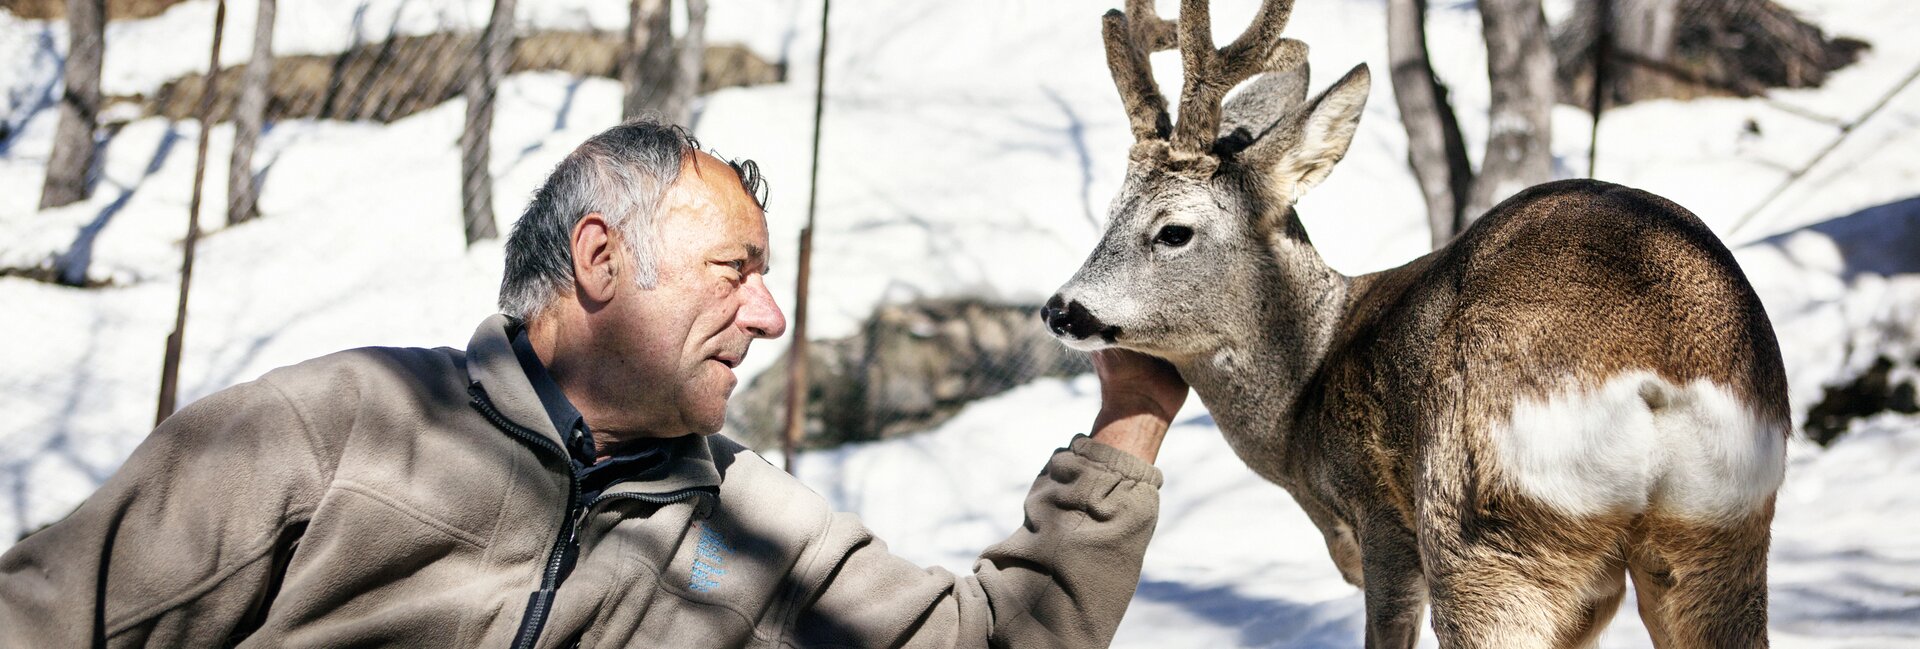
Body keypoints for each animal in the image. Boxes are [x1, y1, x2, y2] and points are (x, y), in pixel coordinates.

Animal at [1044, 2, 1789, 645]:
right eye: (1111, 211)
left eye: (1173, 230)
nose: (1060, 309)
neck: (1306, 385)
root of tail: (1658, 371)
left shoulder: (1383, 523)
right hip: (1719, 534)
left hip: (1480, 530)